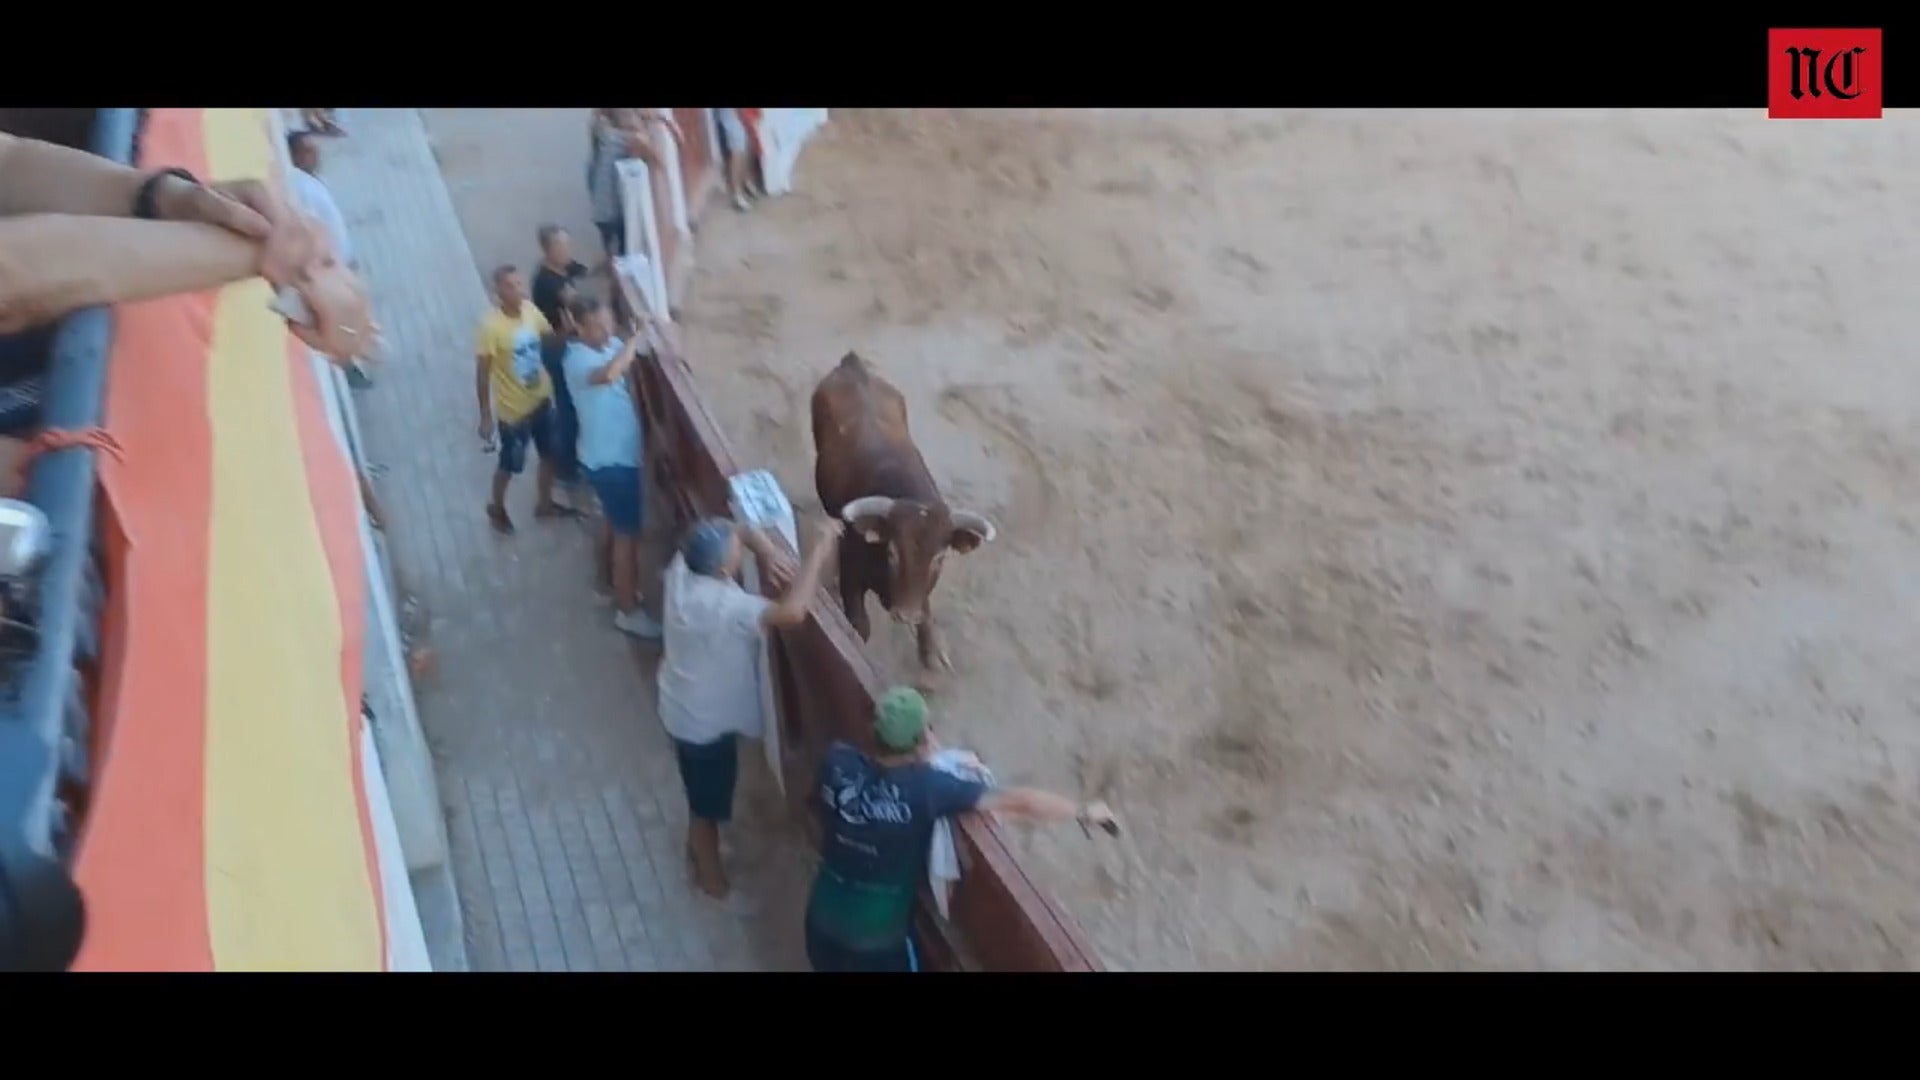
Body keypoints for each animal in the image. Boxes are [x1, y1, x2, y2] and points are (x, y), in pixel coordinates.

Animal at [810, 349, 998, 668]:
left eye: (939, 559)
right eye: (892, 553)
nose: (905, 615)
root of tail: (853, 365)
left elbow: (927, 609)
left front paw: (932, 649)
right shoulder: (851, 577)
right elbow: (860, 626)